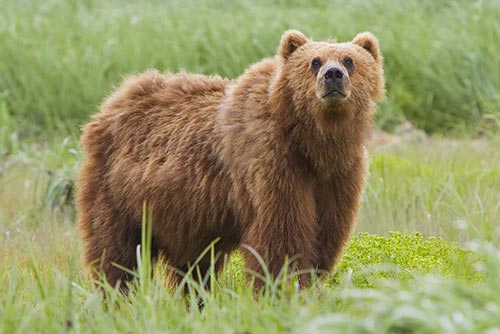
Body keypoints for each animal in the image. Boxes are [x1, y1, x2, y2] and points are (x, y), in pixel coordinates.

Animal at [76, 30, 384, 290]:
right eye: (314, 61)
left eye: (349, 60)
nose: (333, 75)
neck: (312, 143)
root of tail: (114, 100)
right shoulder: (272, 163)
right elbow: (281, 237)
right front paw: (283, 288)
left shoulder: (339, 175)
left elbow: (325, 235)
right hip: (118, 192)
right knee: (117, 253)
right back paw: (116, 295)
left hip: (184, 215)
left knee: (193, 268)